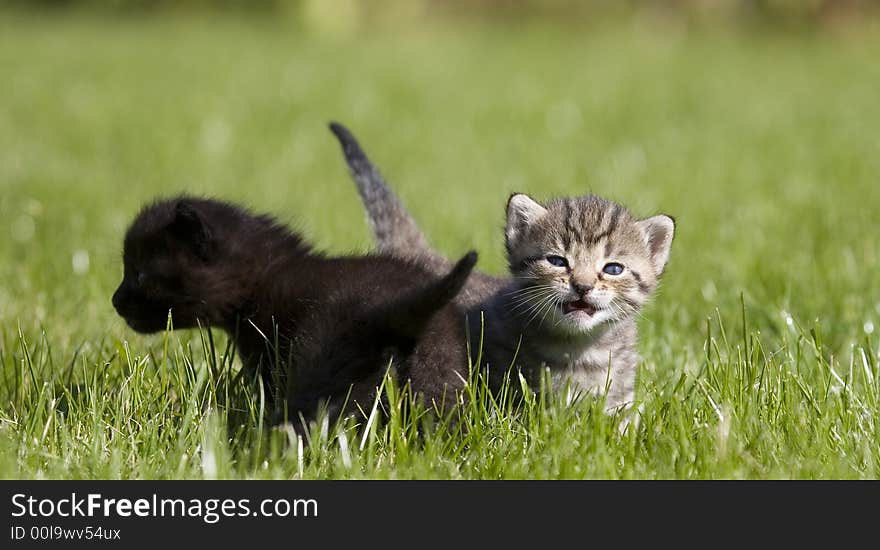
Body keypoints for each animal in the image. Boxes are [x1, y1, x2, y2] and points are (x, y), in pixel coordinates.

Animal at [115, 197, 482, 432]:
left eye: (140, 274)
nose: (116, 300)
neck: (264, 276)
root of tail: (389, 311)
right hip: (439, 381)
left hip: (320, 369)